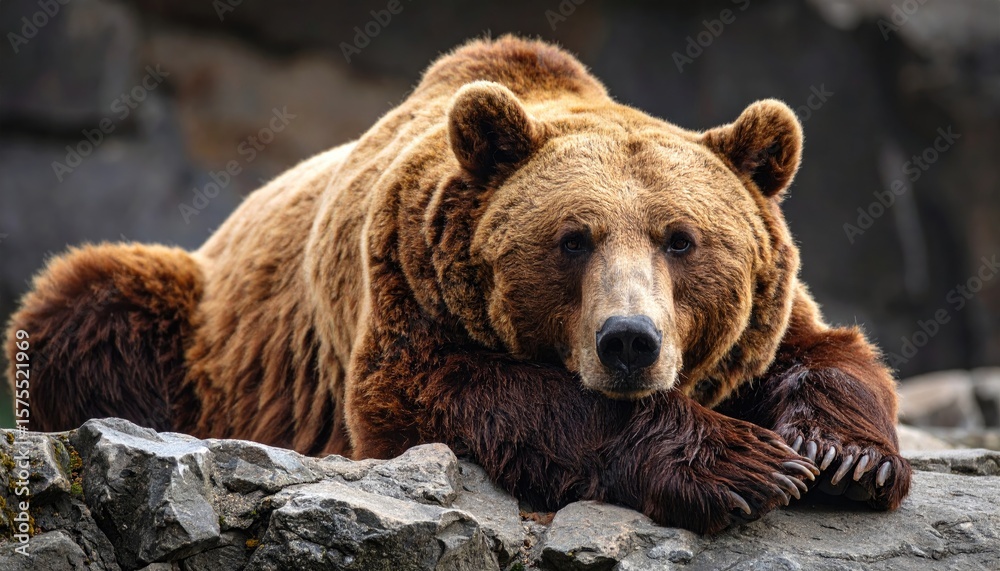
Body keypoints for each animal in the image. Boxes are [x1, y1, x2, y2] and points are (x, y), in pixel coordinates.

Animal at [6, 36, 910, 534]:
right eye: (573, 238)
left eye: (681, 239)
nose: (630, 341)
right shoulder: (404, 284)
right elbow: (457, 395)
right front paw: (744, 463)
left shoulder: (768, 314)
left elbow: (828, 352)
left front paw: (845, 457)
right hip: (196, 321)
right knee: (91, 300)